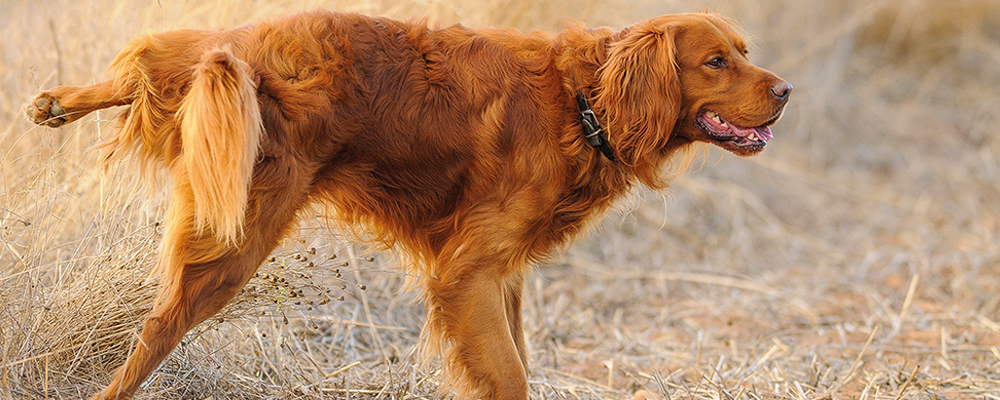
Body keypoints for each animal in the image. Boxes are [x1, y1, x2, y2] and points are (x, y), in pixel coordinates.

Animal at [21, 9, 788, 400]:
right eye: (716, 61)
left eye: (744, 51)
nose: (785, 91)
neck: (584, 100)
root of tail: (245, 54)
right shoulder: (467, 273)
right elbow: (511, 374)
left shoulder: (502, 275)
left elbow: (515, 359)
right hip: (236, 237)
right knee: (153, 333)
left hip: (218, 104)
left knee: (157, 59)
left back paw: (57, 102)